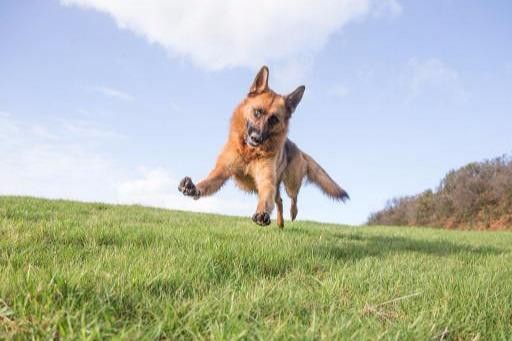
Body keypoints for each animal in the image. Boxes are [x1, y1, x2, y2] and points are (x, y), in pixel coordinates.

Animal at [178, 65, 350, 227]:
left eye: (273, 120)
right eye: (257, 112)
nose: (256, 138)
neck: (249, 153)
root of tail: (297, 148)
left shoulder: (266, 181)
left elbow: (265, 199)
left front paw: (262, 213)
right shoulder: (221, 172)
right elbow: (206, 182)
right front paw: (193, 187)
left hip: (291, 183)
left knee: (292, 198)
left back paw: (292, 213)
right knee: (279, 200)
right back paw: (280, 223)